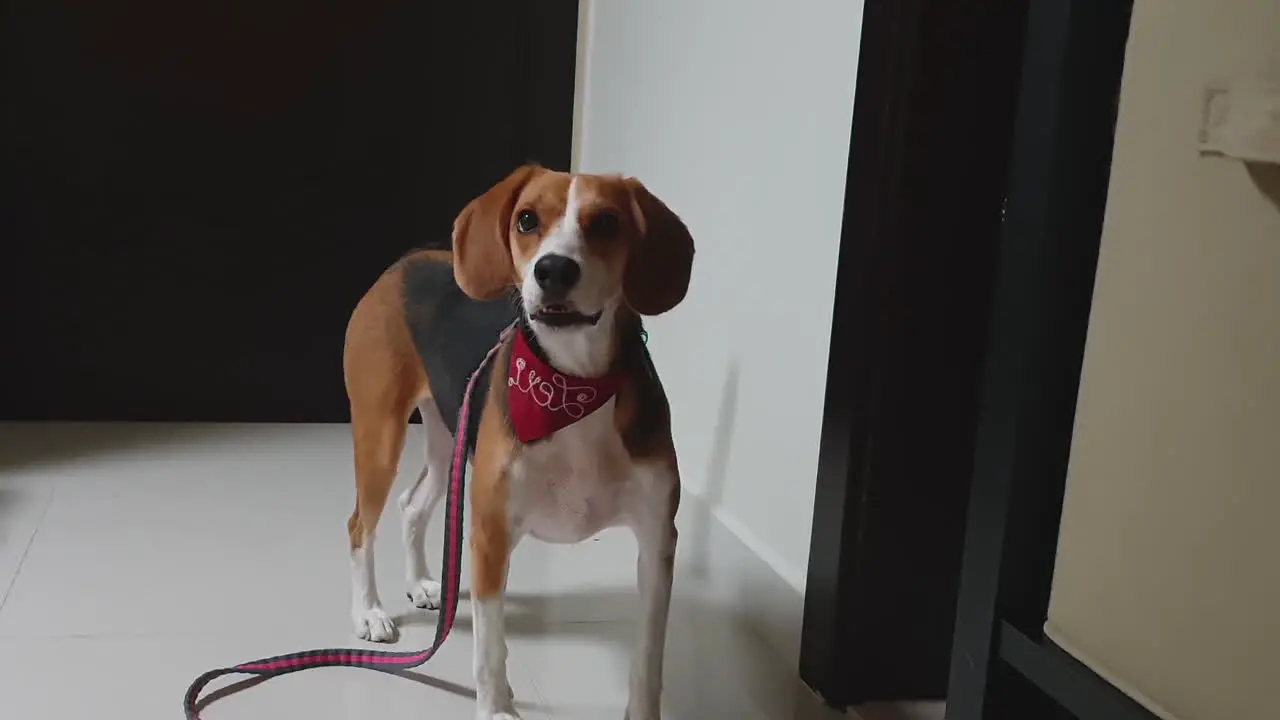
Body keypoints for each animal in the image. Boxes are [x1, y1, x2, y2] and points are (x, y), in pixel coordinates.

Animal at [340, 165, 696, 712]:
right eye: (527, 219)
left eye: (607, 222)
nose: (554, 270)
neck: (571, 386)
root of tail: (405, 262)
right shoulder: (491, 533)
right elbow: (489, 650)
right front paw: (497, 708)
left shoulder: (658, 543)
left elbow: (647, 662)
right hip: (380, 434)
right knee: (360, 525)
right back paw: (369, 612)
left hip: (448, 439)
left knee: (412, 504)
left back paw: (421, 583)